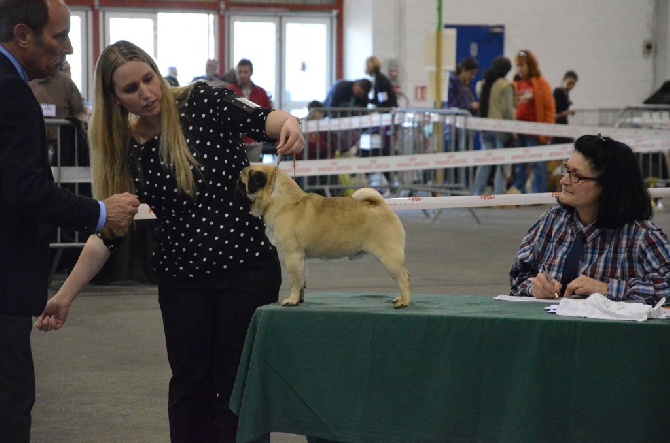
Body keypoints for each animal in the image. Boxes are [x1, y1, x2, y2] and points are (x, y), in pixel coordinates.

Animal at [236, 166, 414, 308]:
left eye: (241, 182)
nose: (234, 185)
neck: (281, 200)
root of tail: (381, 205)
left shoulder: (292, 255)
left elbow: (294, 280)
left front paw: (291, 301)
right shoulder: (300, 258)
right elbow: (301, 280)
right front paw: (299, 300)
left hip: (388, 256)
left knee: (404, 277)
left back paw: (404, 302)